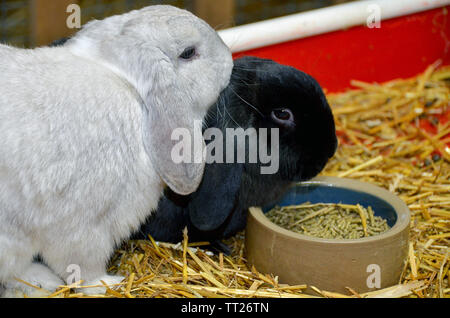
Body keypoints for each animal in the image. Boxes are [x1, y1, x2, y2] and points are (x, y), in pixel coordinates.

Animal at [0, 4, 232, 296]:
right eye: (188, 53)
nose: (230, 59)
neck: (129, 88)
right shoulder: (82, 227)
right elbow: (82, 269)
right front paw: (109, 283)